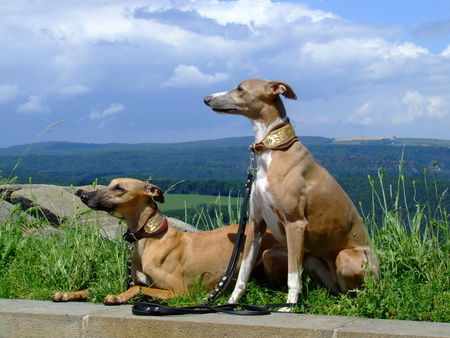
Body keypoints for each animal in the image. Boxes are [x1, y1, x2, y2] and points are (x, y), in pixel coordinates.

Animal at [51, 177, 284, 304]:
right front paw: (69, 293)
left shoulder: (178, 291)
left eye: (119, 188)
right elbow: (97, 287)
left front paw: (118, 297)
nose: (83, 195)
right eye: (109, 184)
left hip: (268, 255)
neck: (149, 237)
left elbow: (139, 289)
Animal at [205, 79, 380, 306]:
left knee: (360, 294)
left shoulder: (295, 224)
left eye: (240, 89)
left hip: (346, 258)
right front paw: (232, 301)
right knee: (336, 290)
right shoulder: (256, 223)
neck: (273, 150)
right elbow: (243, 270)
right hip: (303, 258)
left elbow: (293, 277)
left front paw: (289, 306)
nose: (206, 99)